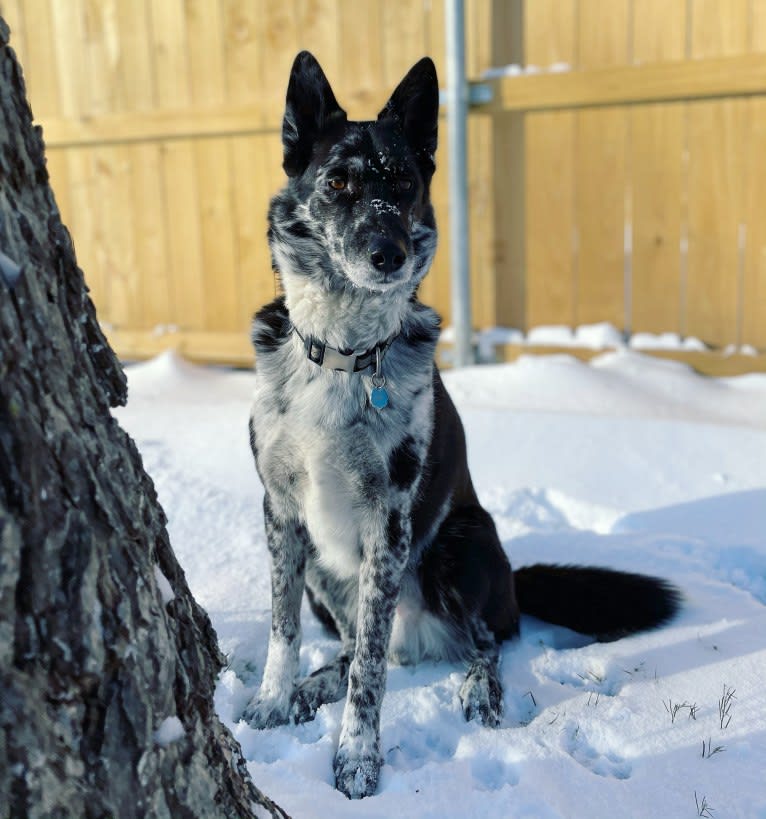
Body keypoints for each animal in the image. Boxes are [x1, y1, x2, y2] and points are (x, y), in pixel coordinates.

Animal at [243, 52, 680, 800]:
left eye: (404, 183)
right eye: (337, 182)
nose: (387, 252)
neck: (344, 353)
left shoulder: (390, 520)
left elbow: (370, 673)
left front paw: (357, 758)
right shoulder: (280, 511)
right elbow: (283, 628)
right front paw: (274, 699)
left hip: (459, 542)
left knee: (479, 641)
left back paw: (478, 691)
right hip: (327, 575)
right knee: (355, 645)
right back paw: (312, 686)